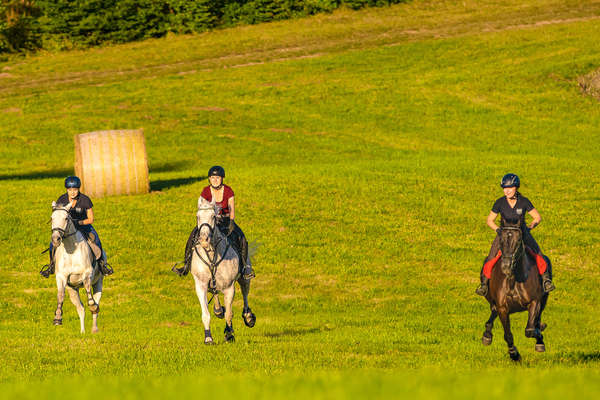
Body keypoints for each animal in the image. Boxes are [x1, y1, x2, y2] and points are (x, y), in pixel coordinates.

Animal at [50, 202, 103, 332]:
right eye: (52, 218)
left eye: (66, 218)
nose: (55, 239)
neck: (71, 249)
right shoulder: (61, 277)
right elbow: (60, 296)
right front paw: (57, 318)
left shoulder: (87, 274)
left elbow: (89, 295)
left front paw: (93, 306)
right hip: (73, 290)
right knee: (81, 309)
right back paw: (82, 332)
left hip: (98, 282)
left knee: (96, 303)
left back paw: (94, 329)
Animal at [193, 198, 256, 344]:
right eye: (198, 217)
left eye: (213, 216)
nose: (204, 240)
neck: (212, 254)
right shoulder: (200, 286)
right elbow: (205, 314)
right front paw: (208, 338)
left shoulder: (229, 288)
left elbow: (229, 313)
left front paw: (229, 334)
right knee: (215, 292)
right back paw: (218, 310)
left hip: (245, 276)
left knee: (245, 293)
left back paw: (249, 317)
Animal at [480, 220, 552, 360]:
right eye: (501, 240)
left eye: (518, 240)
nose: (506, 266)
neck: (514, 280)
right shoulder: (503, 308)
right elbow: (507, 334)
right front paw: (514, 354)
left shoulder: (535, 302)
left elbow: (530, 330)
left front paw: (539, 335)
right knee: (493, 311)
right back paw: (487, 335)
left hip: (544, 300)